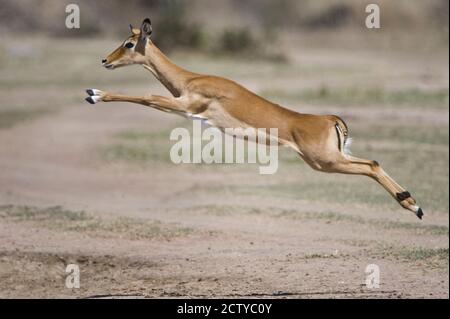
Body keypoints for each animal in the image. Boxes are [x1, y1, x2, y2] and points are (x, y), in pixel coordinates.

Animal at [83, 18, 422, 220]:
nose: (105, 60)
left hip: (325, 162)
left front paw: (94, 94)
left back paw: (414, 207)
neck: (191, 79)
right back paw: (412, 203)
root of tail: (329, 119)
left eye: (129, 44)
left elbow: (145, 97)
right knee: (373, 162)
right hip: (332, 158)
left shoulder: (185, 105)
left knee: (371, 166)